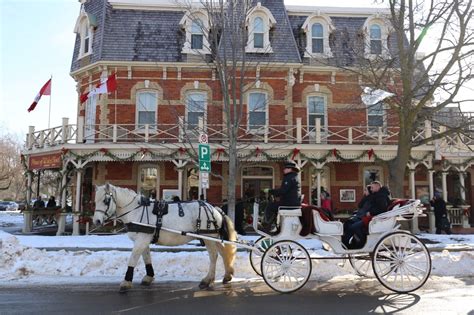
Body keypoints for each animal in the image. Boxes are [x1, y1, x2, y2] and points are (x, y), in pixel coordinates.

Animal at [93, 185, 237, 294]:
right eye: (95, 200)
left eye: (106, 200)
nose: (96, 221)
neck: (136, 211)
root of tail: (214, 209)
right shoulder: (144, 239)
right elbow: (146, 258)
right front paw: (148, 277)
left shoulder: (141, 239)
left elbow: (133, 259)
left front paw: (126, 282)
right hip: (215, 237)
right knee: (224, 254)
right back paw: (227, 275)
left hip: (208, 237)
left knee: (213, 256)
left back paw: (207, 280)